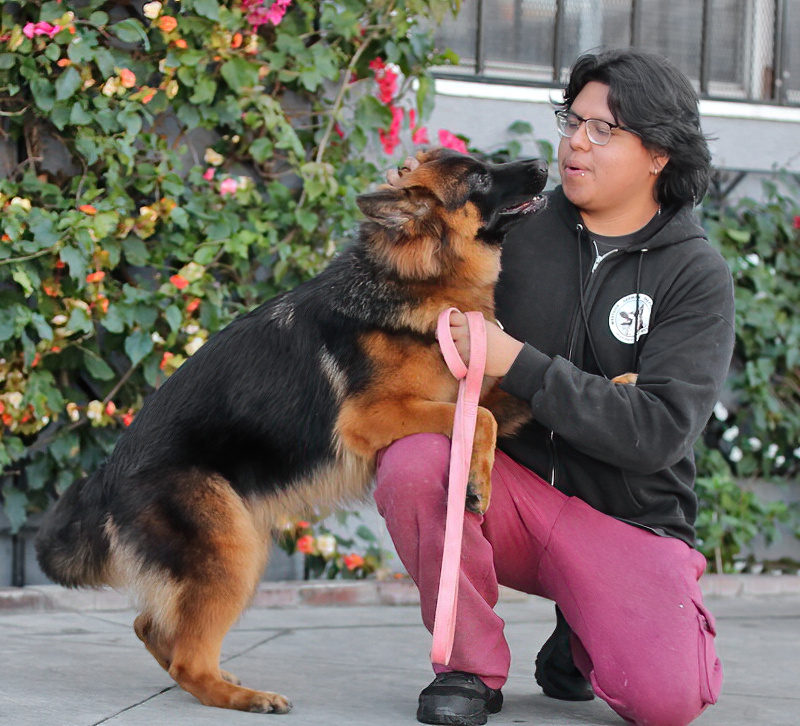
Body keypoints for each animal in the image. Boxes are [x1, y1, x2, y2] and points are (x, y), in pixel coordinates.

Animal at [35, 147, 548, 714]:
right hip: (233, 551)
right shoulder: (372, 417)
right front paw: (477, 483)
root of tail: (107, 473)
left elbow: (505, 405)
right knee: (185, 657)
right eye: (479, 177)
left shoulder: (461, 391)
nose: (543, 164)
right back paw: (244, 696)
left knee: (154, 627)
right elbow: (482, 418)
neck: (412, 275)